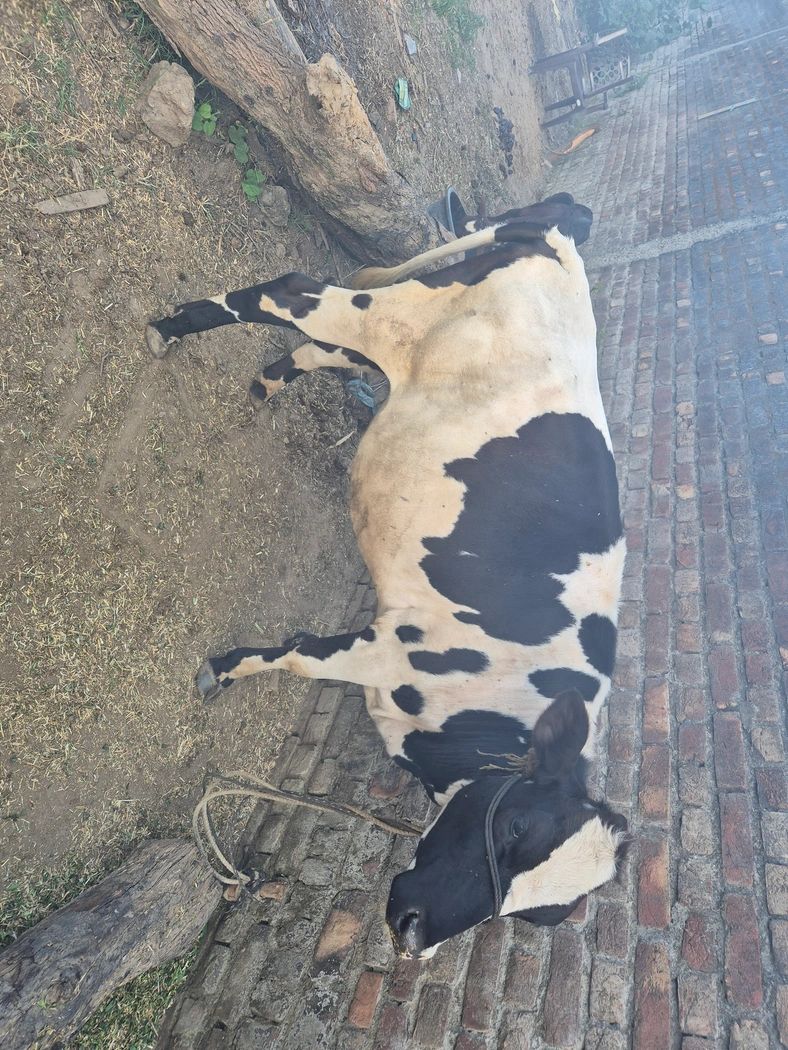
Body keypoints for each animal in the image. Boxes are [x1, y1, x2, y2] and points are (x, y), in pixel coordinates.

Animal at [146, 194, 629, 960]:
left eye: (536, 915)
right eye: (516, 827)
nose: (414, 933)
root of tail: (558, 238)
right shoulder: (389, 647)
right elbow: (298, 657)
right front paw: (219, 671)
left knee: (321, 346)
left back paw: (265, 381)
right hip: (385, 310)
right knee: (290, 294)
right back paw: (168, 330)